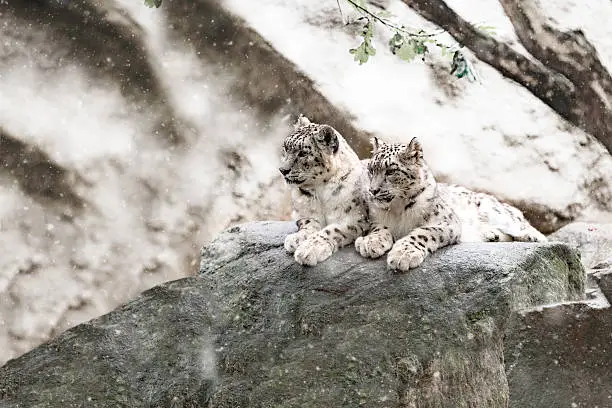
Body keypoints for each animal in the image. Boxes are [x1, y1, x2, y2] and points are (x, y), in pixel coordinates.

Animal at [356, 136, 548, 270]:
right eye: (371, 169)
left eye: (391, 171)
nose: (373, 190)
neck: (398, 209)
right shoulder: (373, 218)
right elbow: (378, 228)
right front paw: (370, 242)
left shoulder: (446, 221)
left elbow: (423, 233)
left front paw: (403, 255)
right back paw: (491, 235)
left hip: (494, 211)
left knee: (525, 226)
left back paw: (531, 236)